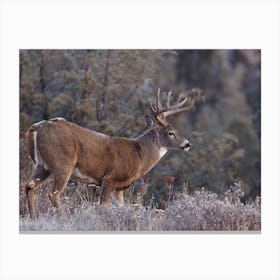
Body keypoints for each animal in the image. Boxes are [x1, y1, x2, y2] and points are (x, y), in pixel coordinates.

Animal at [24, 88, 199, 218]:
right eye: (171, 132)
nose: (187, 144)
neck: (140, 155)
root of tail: (35, 128)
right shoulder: (110, 178)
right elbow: (104, 207)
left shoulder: (120, 188)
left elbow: (121, 207)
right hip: (63, 163)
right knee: (53, 192)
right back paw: (64, 219)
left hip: (42, 166)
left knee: (29, 186)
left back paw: (34, 218)